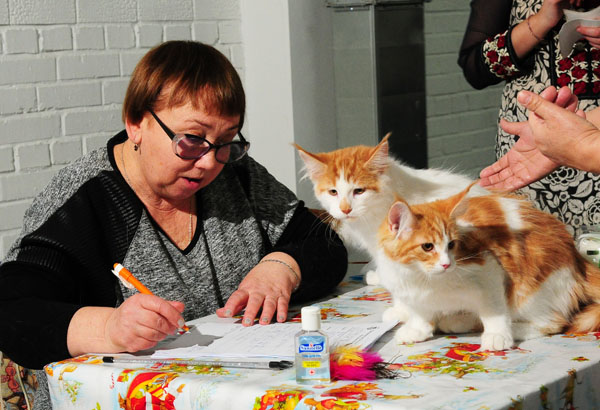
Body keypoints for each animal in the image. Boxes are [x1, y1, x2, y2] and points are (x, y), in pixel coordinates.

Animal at [376, 181, 600, 351]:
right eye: (427, 247)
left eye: (452, 244)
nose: (447, 264)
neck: (420, 277)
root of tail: (576, 257)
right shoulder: (411, 292)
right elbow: (421, 311)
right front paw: (418, 328)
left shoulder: (489, 269)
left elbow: (494, 309)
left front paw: (497, 335)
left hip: (530, 292)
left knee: (554, 323)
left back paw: (512, 328)